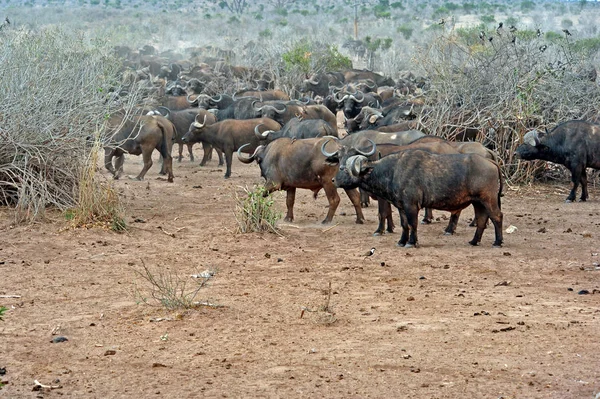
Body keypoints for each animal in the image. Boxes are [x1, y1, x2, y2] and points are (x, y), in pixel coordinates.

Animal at [330, 147, 504, 247]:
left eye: (345, 169)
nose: (333, 180)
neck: (392, 171)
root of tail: (490, 161)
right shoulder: (401, 206)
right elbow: (404, 224)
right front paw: (402, 241)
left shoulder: (411, 206)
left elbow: (412, 224)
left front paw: (412, 242)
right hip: (478, 202)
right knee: (481, 219)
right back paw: (474, 241)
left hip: (488, 200)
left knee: (497, 217)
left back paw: (498, 242)